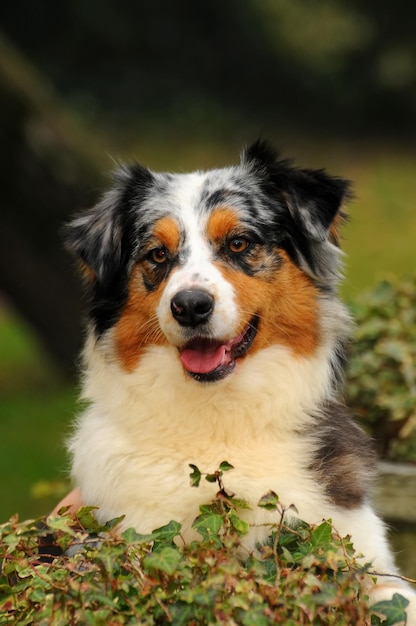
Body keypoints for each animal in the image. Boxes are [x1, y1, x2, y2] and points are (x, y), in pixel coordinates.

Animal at [63, 140, 414, 616]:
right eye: (157, 254)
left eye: (239, 242)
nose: (190, 305)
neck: (221, 418)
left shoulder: (366, 561)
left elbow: (391, 598)